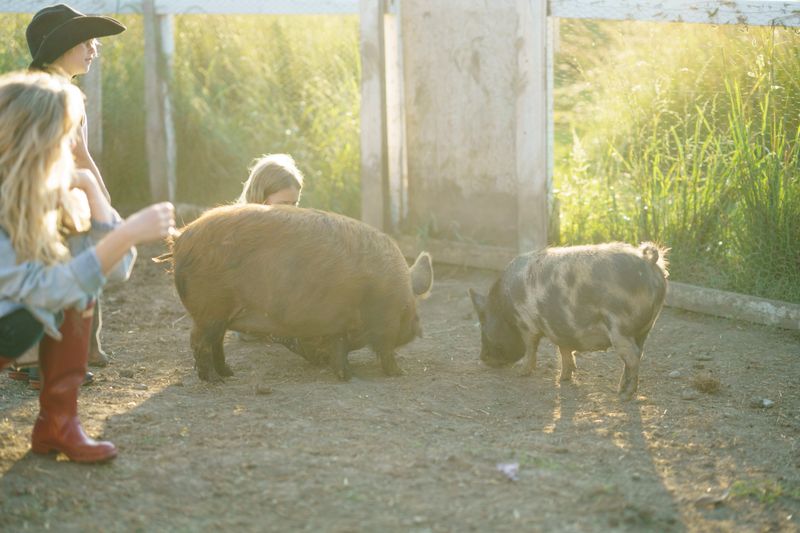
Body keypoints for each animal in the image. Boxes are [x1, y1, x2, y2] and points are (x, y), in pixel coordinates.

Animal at [168, 204, 433, 382]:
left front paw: (345, 376)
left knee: (216, 342)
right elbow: (385, 349)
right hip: (210, 309)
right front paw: (398, 373)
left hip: (217, 314)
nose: (419, 329)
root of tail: (181, 239)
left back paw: (229, 373)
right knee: (198, 340)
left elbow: (339, 348)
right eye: (413, 311)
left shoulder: (339, 322)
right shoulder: (384, 322)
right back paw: (215, 380)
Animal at [469, 242, 668, 400]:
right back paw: (619, 389)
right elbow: (564, 351)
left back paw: (625, 396)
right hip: (645, 329)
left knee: (632, 357)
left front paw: (521, 372)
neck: (505, 308)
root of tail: (649, 261)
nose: (482, 358)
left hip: (620, 328)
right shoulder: (560, 330)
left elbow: (531, 348)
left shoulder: (527, 324)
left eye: (483, 324)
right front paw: (563, 379)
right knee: (637, 355)